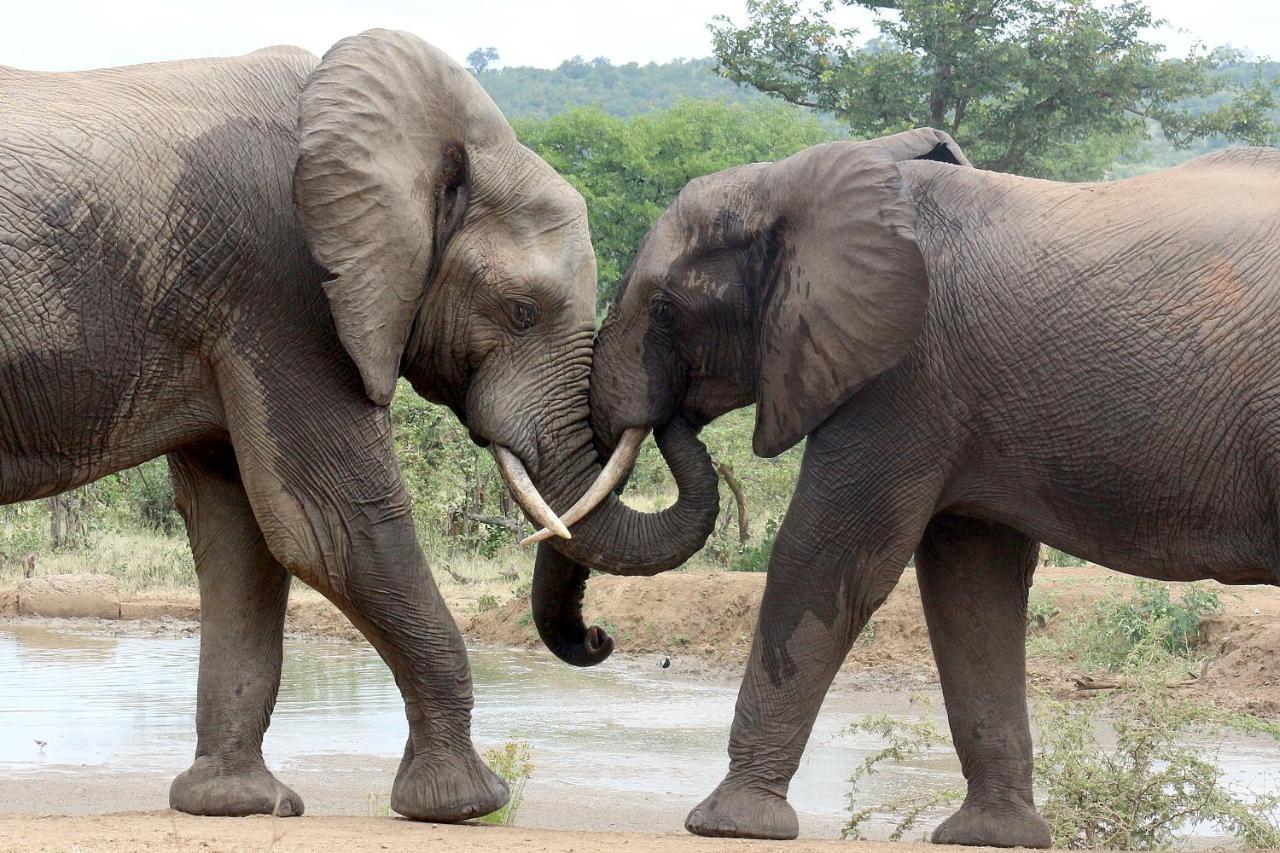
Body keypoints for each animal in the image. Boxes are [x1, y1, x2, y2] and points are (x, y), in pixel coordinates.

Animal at [0, 29, 721, 819]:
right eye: (522, 310)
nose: (599, 636)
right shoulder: (285, 286)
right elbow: (329, 526)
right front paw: (465, 804)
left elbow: (243, 531)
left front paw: (239, 804)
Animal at [535, 128, 1280, 845]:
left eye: (664, 308)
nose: (598, 637)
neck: (798, 180)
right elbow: (970, 586)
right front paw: (991, 837)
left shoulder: (902, 375)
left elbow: (828, 557)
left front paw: (728, 823)